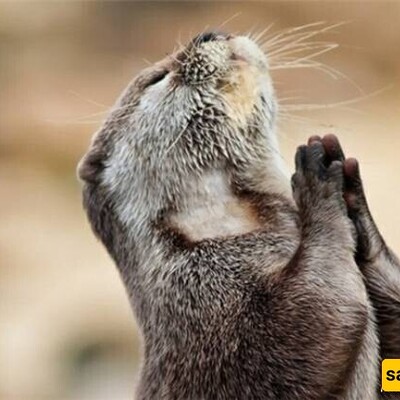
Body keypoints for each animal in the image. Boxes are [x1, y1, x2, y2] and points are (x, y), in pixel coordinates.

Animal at [78, 32, 400, 400]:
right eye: (157, 78)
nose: (208, 33)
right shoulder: (207, 303)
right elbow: (315, 315)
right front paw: (316, 184)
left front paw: (353, 201)